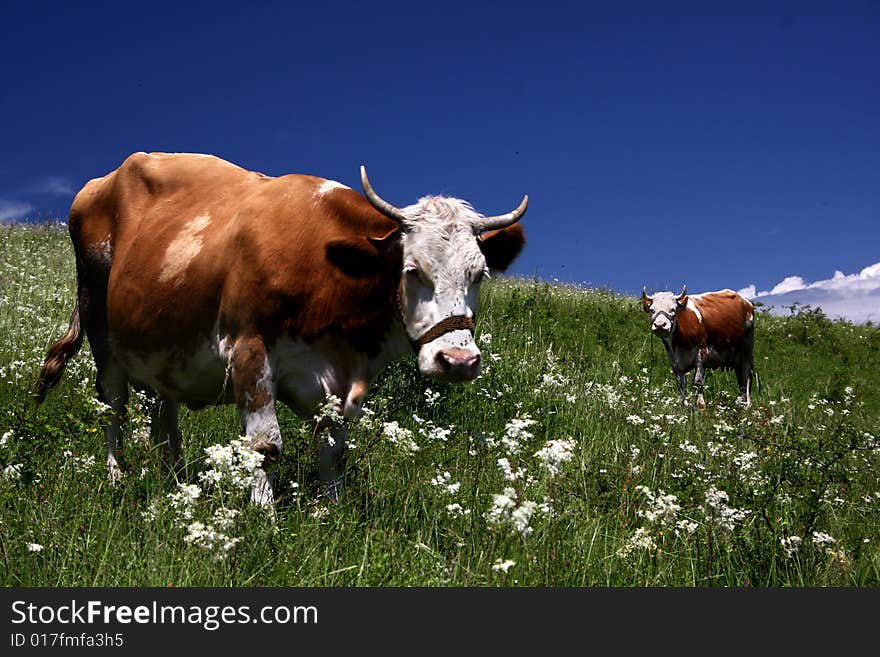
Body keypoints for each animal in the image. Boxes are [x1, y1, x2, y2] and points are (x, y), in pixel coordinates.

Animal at [34, 152, 524, 502]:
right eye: (411, 270)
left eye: (479, 273)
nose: (457, 360)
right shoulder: (249, 349)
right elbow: (264, 447)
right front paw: (263, 520)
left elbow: (333, 449)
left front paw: (333, 512)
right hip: (100, 325)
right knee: (112, 404)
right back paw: (116, 477)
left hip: (160, 343)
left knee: (162, 410)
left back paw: (171, 477)